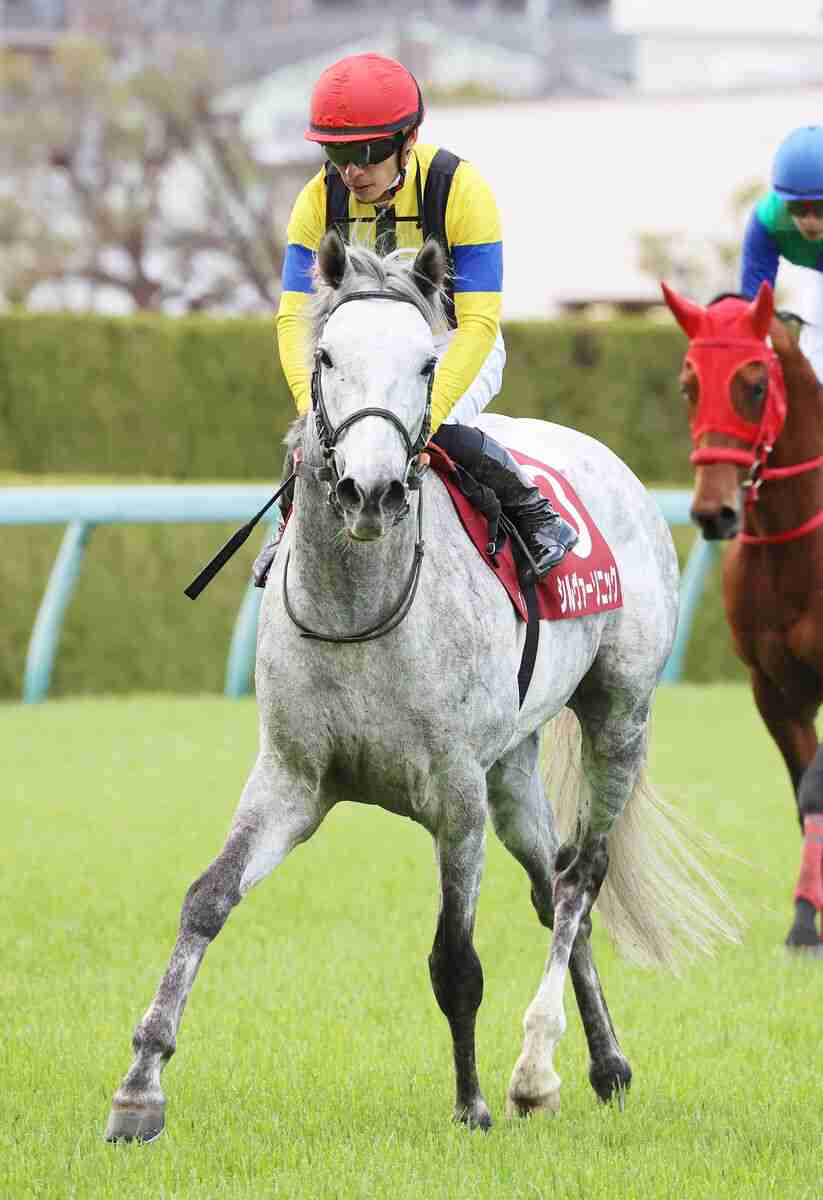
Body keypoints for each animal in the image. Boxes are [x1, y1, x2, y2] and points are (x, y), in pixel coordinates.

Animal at [105, 233, 735, 1143]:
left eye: (427, 362)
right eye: (326, 356)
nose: (369, 490)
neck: (358, 606)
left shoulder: (454, 795)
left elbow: (455, 959)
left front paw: (471, 1103)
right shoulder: (291, 780)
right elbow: (205, 901)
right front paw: (139, 1090)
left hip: (619, 713)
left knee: (581, 877)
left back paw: (536, 1069)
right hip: (513, 766)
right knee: (552, 887)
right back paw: (604, 1063)